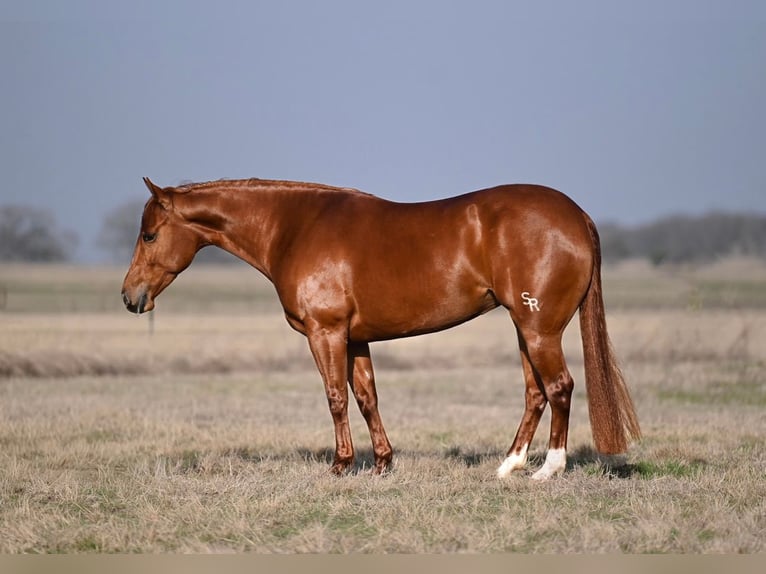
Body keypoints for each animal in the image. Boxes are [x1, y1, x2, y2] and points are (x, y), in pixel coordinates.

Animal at [121, 177, 640, 480]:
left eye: (150, 235)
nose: (131, 297)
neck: (295, 227)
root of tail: (576, 216)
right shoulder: (356, 338)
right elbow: (367, 396)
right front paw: (382, 463)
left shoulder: (326, 333)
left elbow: (335, 396)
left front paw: (340, 465)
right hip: (524, 329)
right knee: (535, 392)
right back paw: (508, 465)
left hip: (539, 330)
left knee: (560, 386)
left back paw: (547, 470)